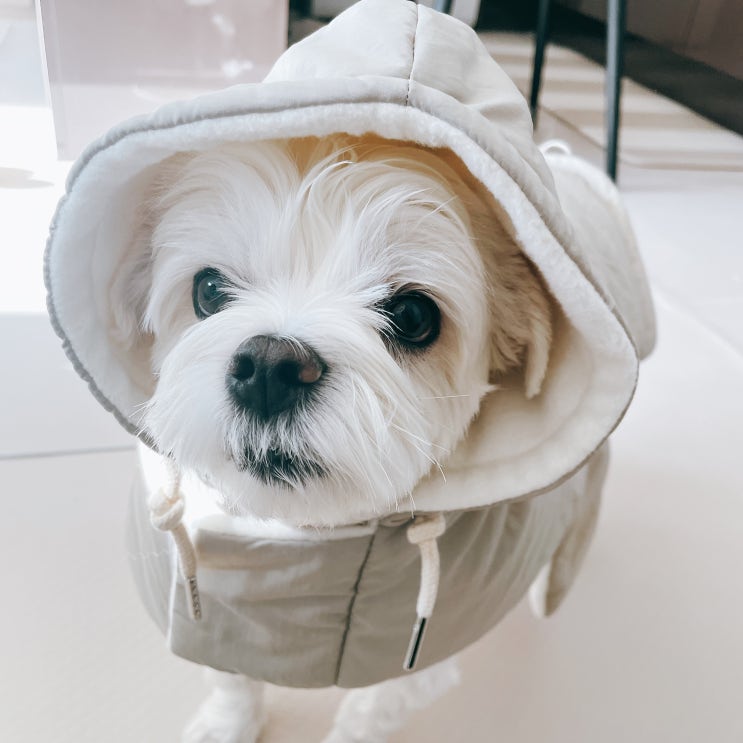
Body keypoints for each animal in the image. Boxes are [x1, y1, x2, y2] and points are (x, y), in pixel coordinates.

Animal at [111, 134, 553, 742]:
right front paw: (226, 726)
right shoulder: (220, 601)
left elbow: (370, 712)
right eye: (209, 289)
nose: (269, 367)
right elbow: (231, 675)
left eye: (413, 315)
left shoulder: (416, 651)